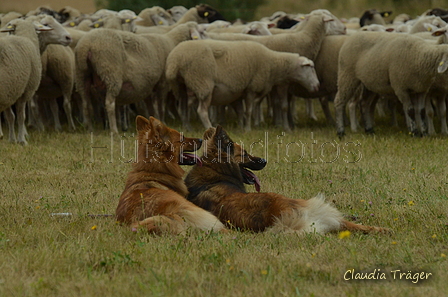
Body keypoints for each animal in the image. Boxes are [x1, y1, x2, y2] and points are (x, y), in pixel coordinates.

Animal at [164, 39, 318, 131]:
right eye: (310, 68)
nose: (317, 85)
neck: (272, 64)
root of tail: (175, 60)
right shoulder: (251, 87)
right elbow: (248, 110)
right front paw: (248, 129)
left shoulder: (238, 90)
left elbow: (239, 110)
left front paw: (240, 126)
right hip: (203, 83)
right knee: (201, 111)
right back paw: (210, 128)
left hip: (180, 86)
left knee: (183, 108)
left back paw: (187, 127)